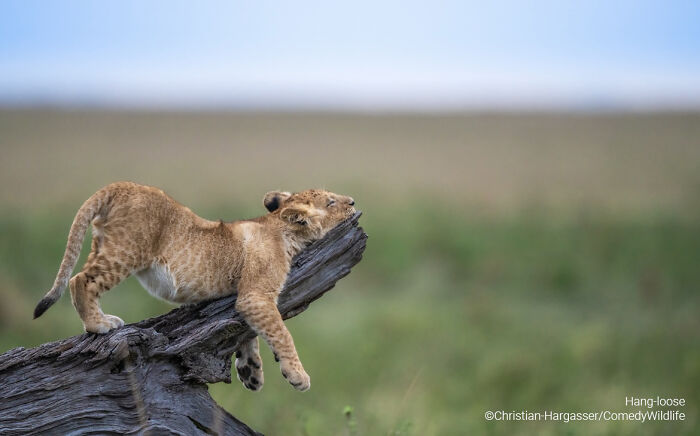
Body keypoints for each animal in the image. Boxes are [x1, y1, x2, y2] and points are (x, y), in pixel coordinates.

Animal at [33, 182, 356, 391]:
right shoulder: (255, 294)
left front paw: (250, 372)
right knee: (79, 280)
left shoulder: (245, 298)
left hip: (102, 244)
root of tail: (120, 185)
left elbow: (250, 331)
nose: (353, 201)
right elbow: (280, 332)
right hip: (127, 250)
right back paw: (98, 324)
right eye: (330, 202)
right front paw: (297, 375)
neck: (282, 230)